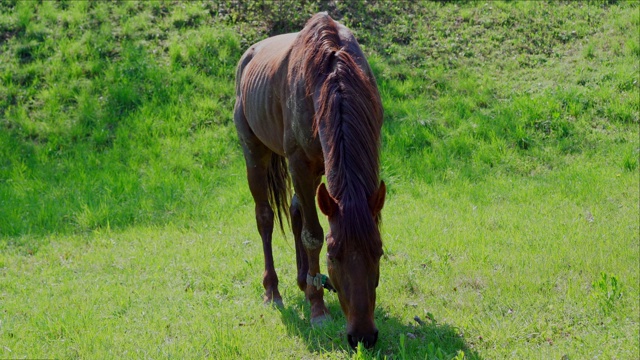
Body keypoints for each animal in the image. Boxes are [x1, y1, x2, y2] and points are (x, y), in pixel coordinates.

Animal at [234, 12, 384, 348]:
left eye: (379, 251)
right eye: (333, 254)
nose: (362, 336)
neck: (333, 76)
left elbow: (305, 223)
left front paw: (311, 291)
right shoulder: (299, 164)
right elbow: (312, 235)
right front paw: (318, 309)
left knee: (294, 210)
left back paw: (303, 282)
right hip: (255, 153)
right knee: (265, 217)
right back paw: (273, 291)